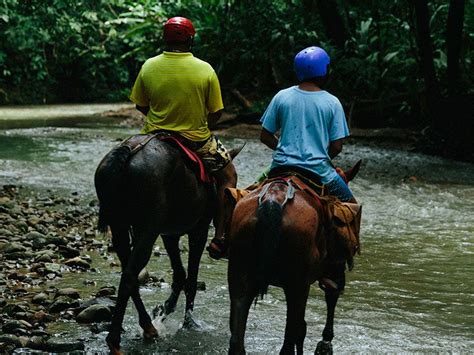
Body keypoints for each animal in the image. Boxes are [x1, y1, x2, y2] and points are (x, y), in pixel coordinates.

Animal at [94, 135, 241, 354]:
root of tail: (127, 151)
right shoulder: (199, 230)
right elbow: (191, 279)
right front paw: (188, 322)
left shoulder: (169, 234)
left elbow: (179, 274)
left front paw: (164, 309)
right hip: (147, 230)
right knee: (129, 275)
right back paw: (115, 341)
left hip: (120, 227)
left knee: (130, 274)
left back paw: (148, 326)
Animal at [228, 163, 362, 354]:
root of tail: (273, 200)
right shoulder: (333, 268)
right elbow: (331, 295)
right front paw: (325, 343)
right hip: (297, 285)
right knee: (290, 336)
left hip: (239, 272)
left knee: (237, 334)